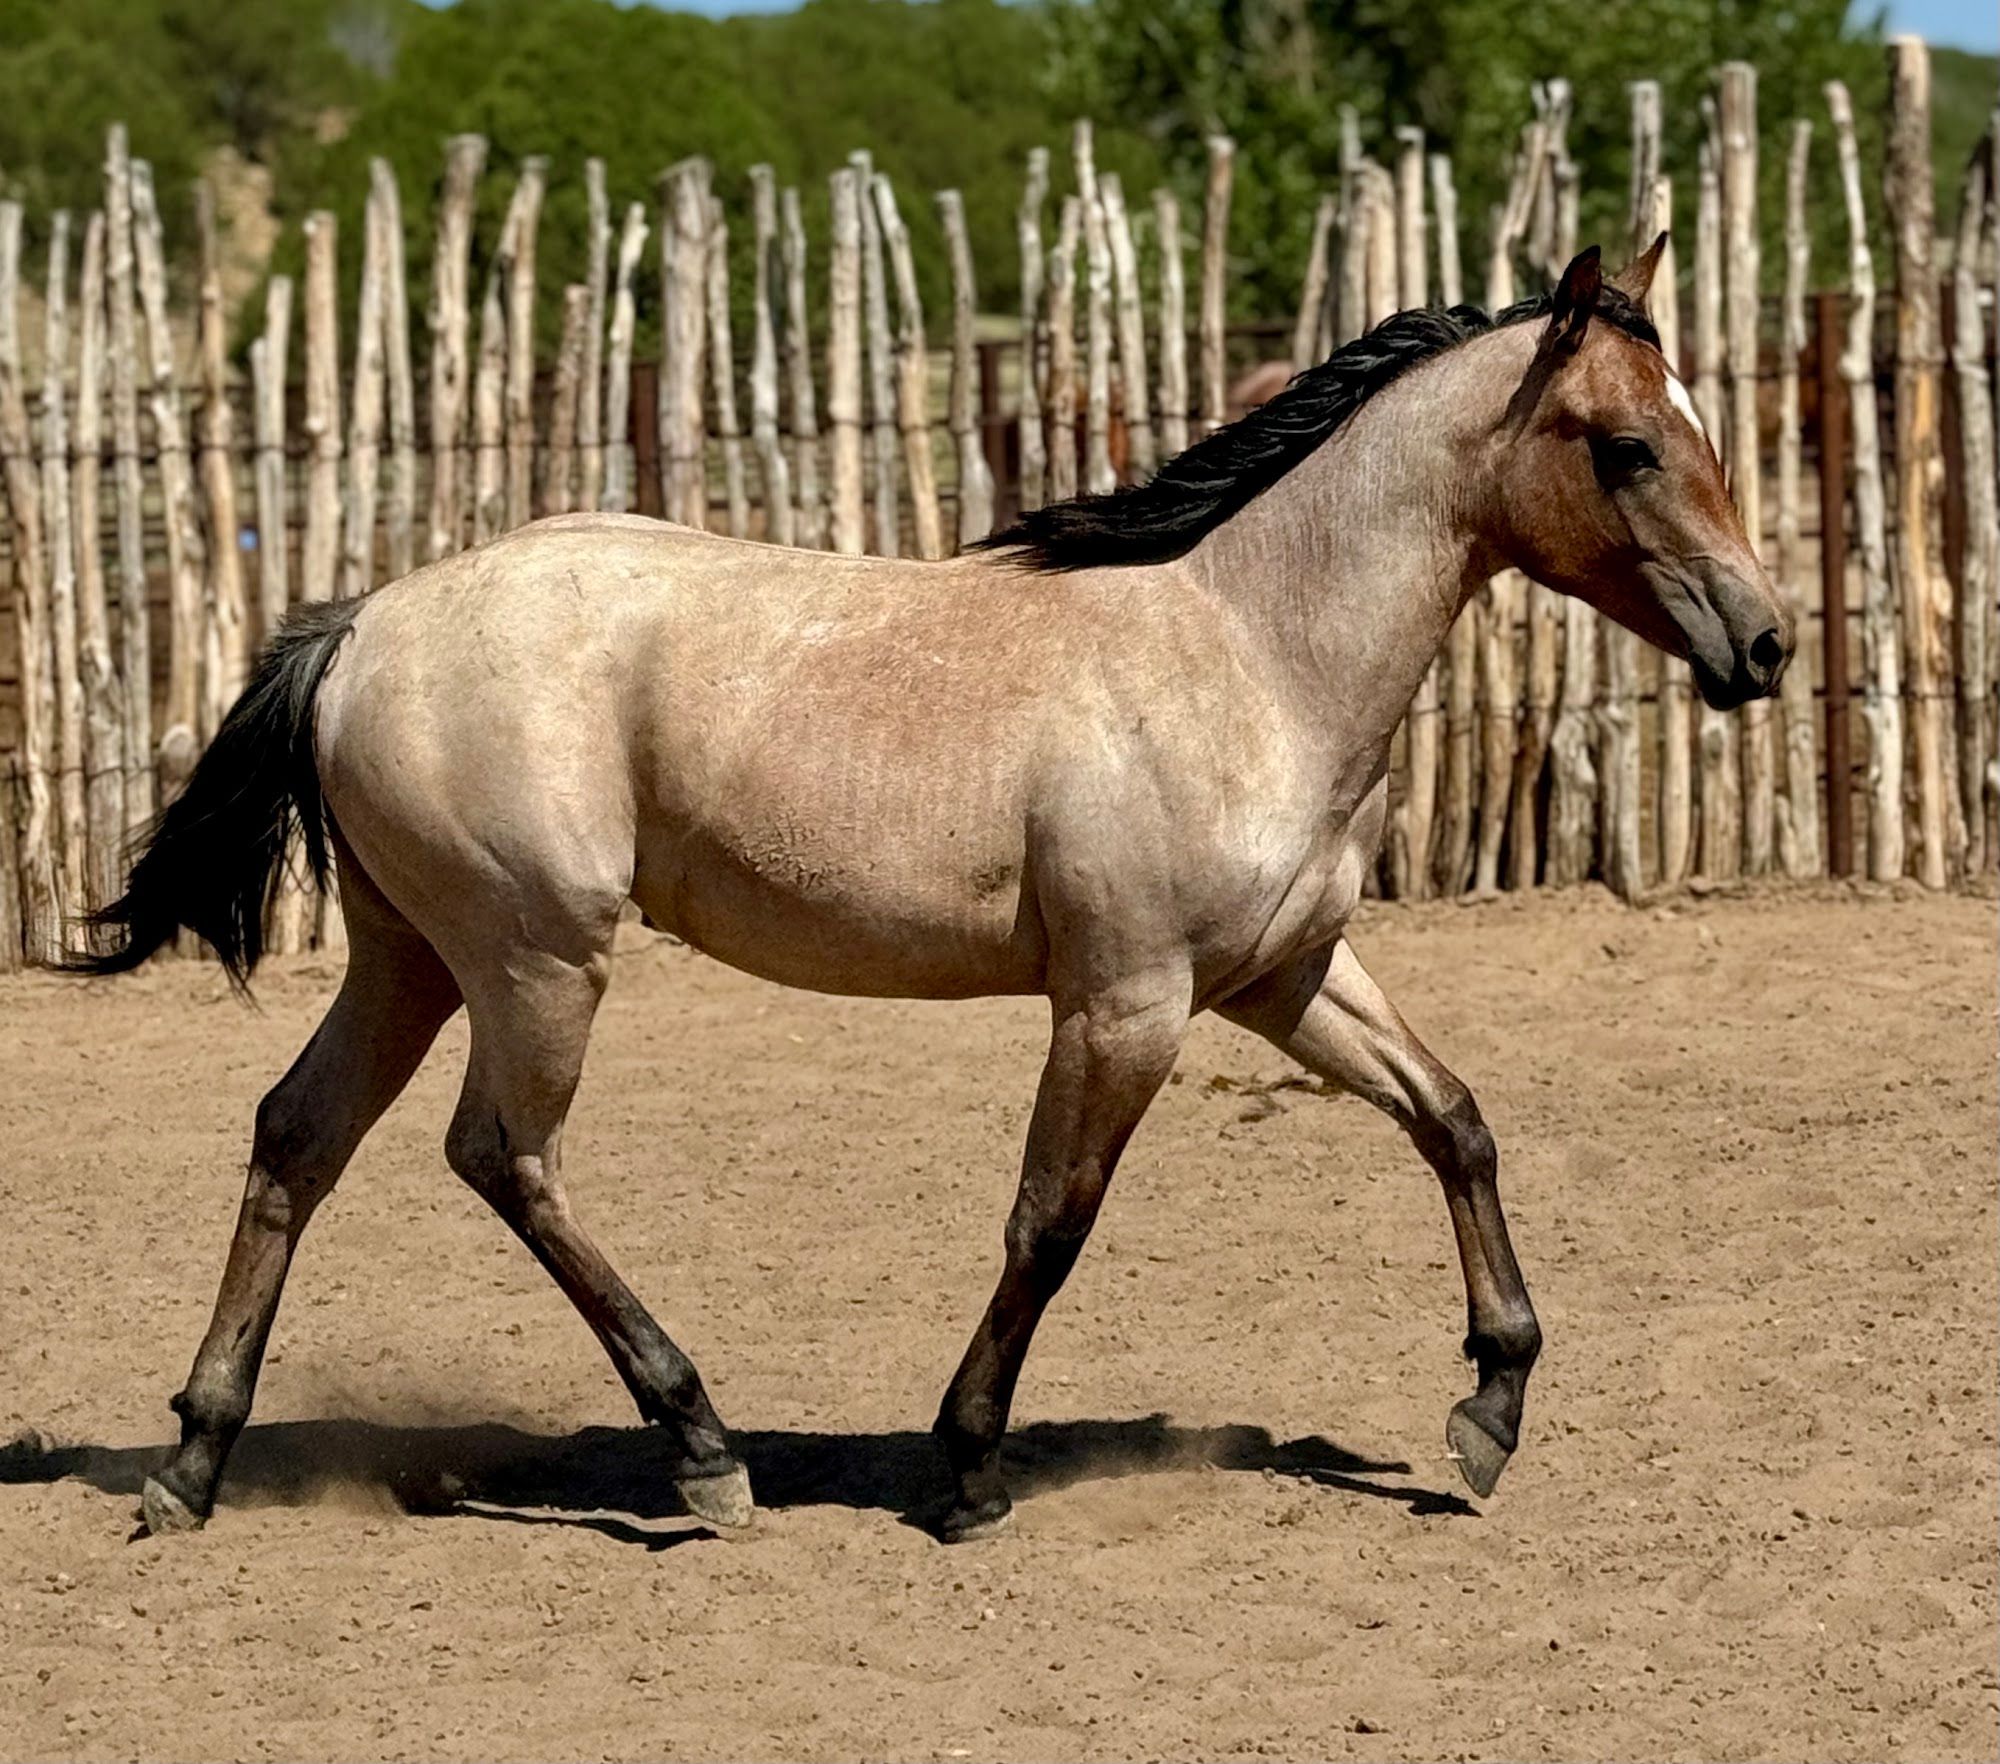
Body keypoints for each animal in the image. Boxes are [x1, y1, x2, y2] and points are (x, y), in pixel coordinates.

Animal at [73, 241, 1789, 1544]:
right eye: (1628, 446)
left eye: (1698, 426)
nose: (1766, 646)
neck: (1244, 650)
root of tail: (362, 624)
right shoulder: (1127, 1004)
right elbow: (1051, 1219)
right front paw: (963, 1470)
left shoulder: (1284, 978)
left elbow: (1456, 1120)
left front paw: (1490, 1408)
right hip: (536, 962)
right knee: (504, 1157)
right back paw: (703, 1453)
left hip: (412, 959)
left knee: (299, 1137)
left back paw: (193, 1462)